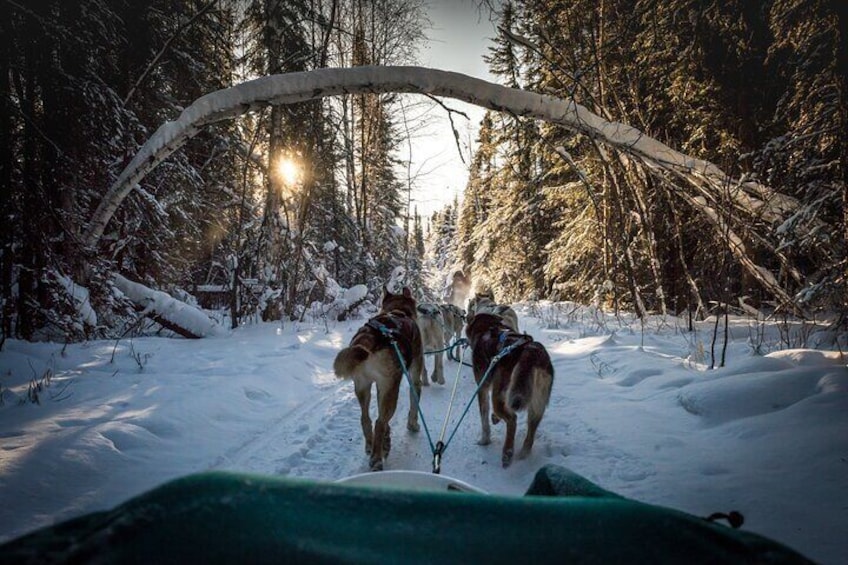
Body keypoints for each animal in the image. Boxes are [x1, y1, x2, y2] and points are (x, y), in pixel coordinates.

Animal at [332, 286, 422, 472]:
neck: (398, 311)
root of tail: (369, 340)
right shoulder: (412, 379)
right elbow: (413, 404)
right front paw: (413, 425)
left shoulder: (380, 387)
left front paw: (386, 442)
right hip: (390, 390)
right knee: (380, 422)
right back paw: (377, 458)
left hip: (362, 387)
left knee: (366, 419)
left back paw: (372, 445)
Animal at [464, 310, 556, 464]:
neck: (486, 329)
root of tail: (532, 350)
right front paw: (495, 418)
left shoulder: (482, 388)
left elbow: (484, 420)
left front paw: (484, 440)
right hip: (536, 405)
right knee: (529, 433)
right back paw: (523, 454)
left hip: (498, 396)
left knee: (512, 419)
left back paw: (507, 452)